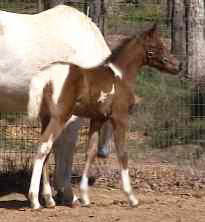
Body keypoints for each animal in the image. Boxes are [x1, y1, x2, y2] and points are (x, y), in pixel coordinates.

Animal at [27, 24, 181, 210]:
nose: (178, 66)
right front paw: (131, 197)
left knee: (46, 151)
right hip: (60, 117)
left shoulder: (97, 119)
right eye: (156, 46)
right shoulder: (120, 118)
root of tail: (46, 75)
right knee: (43, 147)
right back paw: (35, 201)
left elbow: (91, 152)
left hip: (46, 118)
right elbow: (122, 153)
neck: (120, 77)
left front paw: (85, 197)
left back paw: (49, 200)